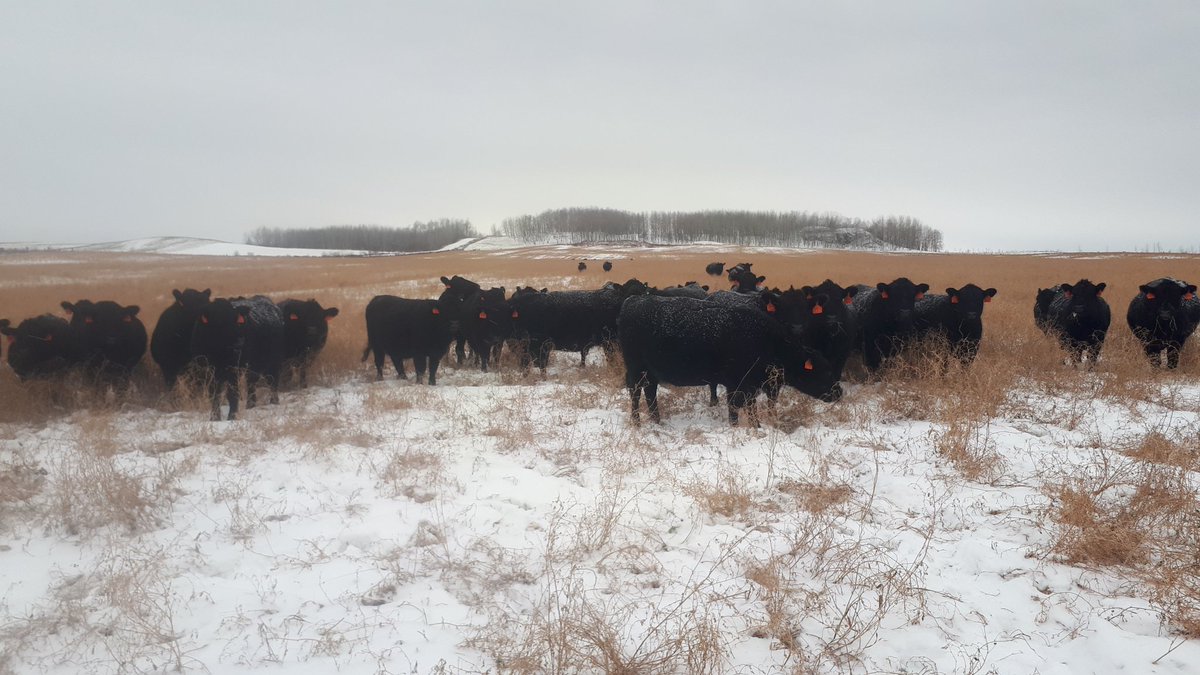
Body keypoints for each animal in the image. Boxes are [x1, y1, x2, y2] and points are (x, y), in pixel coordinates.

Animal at [618, 295, 842, 426]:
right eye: (825, 371)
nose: (839, 392)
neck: (767, 341)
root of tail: (633, 300)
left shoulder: (751, 386)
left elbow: (751, 409)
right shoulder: (736, 386)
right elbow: (735, 410)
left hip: (650, 373)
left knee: (650, 393)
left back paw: (657, 421)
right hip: (636, 370)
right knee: (636, 394)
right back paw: (637, 423)